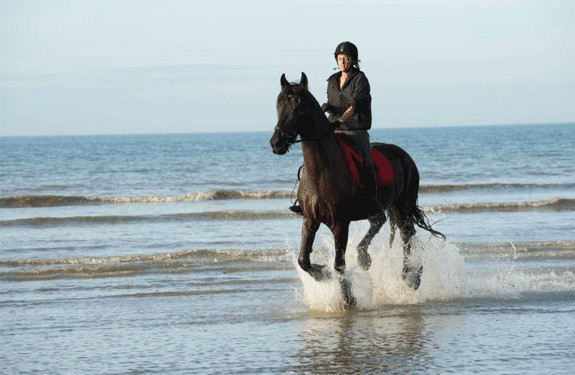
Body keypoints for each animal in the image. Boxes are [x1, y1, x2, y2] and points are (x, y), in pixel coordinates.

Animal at [272, 73, 446, 298]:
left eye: (299, 108)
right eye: (278, 105)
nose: (276, 143)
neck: (320, 171)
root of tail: (404, 155)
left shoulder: (340, 224)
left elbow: (339, 264)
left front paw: (348, 299)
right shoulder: (310, 220)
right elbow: (304, 261)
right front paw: (322, 274)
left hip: (402, 207)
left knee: (407, 235)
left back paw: (410, 277)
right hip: (385, 208)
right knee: (380, 222)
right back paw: (368, 258)